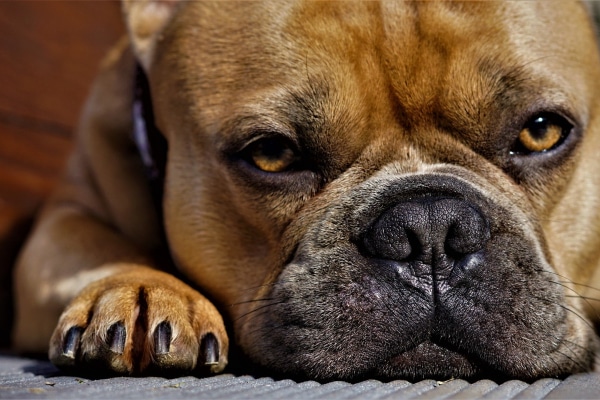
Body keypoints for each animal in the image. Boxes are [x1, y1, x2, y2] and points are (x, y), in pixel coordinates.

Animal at [10, 0, 600, 382]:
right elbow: (91, 244)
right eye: (272, 152)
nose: (430, 227)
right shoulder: (65, 218)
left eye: (541, 131)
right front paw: (141, 291)